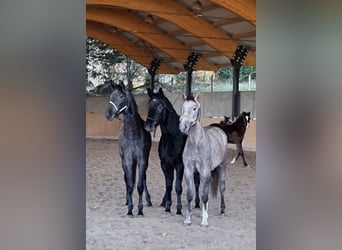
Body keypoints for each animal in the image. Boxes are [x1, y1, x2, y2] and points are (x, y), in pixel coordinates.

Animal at [105, 81, 152, 216]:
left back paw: (148, 200)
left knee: (143, 178)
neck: (133, 134)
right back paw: (127, 200)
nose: (108, 115)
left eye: (121, 97)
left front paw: (140, 210)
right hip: (124, 161)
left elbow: (140, 185)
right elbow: (130, 183)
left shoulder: (142, 160)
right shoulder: (128, 160)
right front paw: (130, 209)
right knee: (126, 178)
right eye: (111, 96)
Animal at [178, 93, 228, 227]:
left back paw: (222, 210)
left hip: (222, 166)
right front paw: (188, 219)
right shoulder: (189, 171)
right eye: (182, 107)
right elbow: (191, 195)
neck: (196, 143)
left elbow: (204, 195)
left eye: (194, 108)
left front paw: (204, 222)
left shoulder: (205, 171)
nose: (183, 127)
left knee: (221, 188)